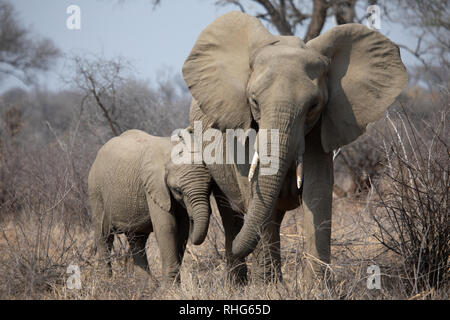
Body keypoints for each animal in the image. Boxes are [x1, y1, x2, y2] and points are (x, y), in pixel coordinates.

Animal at [89, 129, 213, 282]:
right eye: (178, 190)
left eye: (211, 188)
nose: (193, 219)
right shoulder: (154, 185)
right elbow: (167, 228)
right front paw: (170, 288)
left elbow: (182, 230)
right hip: (96, 191)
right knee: (104, 235)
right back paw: (106, 281)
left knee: (137, 240)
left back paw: (147, 285)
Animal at [183, 11, 408, 282]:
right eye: (254, 101)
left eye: (313, 105)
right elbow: (254, 194)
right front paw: (266, 287)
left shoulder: (321, 129)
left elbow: (318, 193)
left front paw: (317, 287)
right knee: (231, 214)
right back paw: (239, 279)